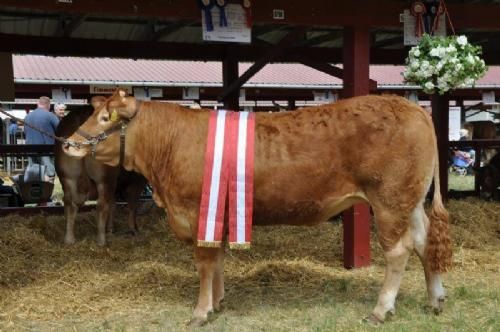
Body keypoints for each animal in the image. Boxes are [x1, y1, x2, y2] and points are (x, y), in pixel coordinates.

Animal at [56, 96, 148, 246]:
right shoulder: (137, 181)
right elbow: (131, 205)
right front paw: (133, 229)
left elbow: (114, 204)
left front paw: (110, 228)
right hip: (105, 177)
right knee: (101, 205)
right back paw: (101, 240)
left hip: (67, 176)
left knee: (69, 203)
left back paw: (69, 239)